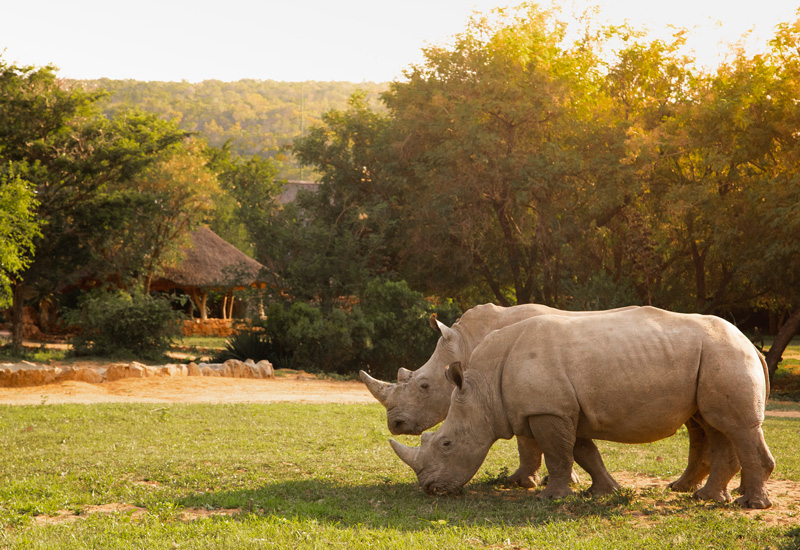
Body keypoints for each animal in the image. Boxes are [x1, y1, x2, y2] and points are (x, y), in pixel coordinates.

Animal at [390, 307, 774, 509]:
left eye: (446, 444)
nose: (429, 489)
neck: (481, 386)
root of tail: (751, 344)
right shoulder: (561, 409)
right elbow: (583, 452)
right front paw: (603, 491)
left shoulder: (547, 410)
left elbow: (558, 454)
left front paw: (551, 496)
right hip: (714, 358)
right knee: (715, 426)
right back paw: (706, 497)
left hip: (724, 354)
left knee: (733, 427)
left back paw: (748, 505)